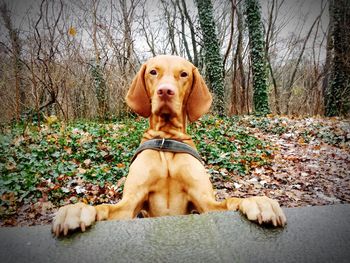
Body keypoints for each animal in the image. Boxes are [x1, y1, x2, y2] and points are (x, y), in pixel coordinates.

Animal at [52, 55, 288, 237]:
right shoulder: (129, 205)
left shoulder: (205, 202)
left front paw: (258, 201)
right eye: (153, 72)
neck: (166, 139)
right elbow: (104, 207)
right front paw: (77, 209)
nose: (165, 91)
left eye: (183, 74)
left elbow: (232, 200)